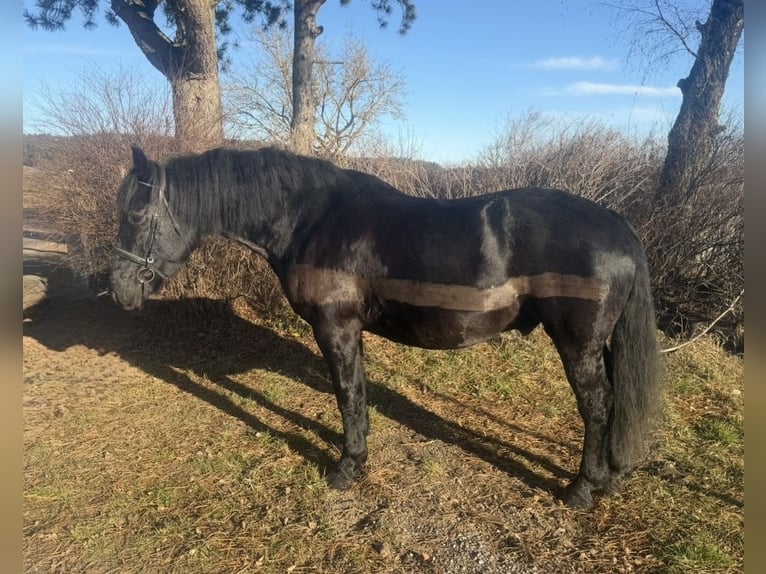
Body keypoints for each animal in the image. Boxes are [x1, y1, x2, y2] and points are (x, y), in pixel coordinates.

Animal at [109, 145, 660, 509]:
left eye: (135, 215)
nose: (118, 290)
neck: (310, 219)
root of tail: (619, 227)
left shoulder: (336, 329)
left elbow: (348, 396)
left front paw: (348, 467)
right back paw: (609, 477)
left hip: (579, 344)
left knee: (597, 406)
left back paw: (581, 490)